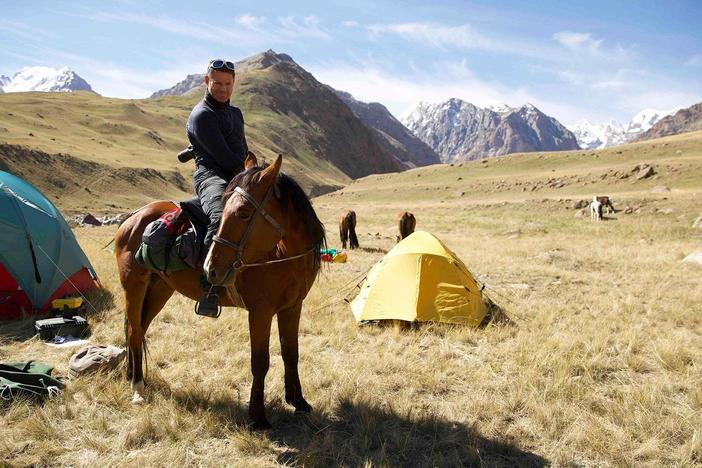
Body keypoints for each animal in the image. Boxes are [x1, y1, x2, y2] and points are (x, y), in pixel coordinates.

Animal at [114, 153, 326, 428]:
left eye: (244, 213)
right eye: (223, 209)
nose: (210, 269)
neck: (280, 254)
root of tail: (132, 218)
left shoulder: (292, 308)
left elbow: (291, 353)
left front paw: (298, 402)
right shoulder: (260, 313)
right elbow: (260, 362)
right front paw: (258, 417)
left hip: (160, 289)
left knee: (138, 330)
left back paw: (132, 376)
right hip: (134, 288)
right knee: (134, 331)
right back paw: (138, 387)